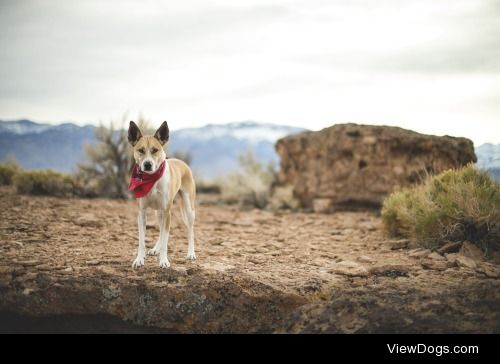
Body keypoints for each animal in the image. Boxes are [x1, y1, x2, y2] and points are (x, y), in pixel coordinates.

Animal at [128, 121, 196, 268]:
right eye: (141, 150)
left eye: (155, 150)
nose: (147, 164)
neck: (151, 179)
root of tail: (182, 162)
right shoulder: (142, 212)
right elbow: (142, 241)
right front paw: (139, 260)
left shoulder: (167, 211)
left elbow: (166, 240)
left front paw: (164, 261)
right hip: (158, 212)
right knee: (160, 231)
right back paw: (155, 249)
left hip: (188, 208)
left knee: (190, 230)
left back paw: (191, 253)